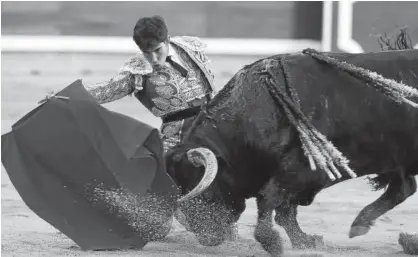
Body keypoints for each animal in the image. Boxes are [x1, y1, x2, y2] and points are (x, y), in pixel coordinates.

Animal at [163, 47, 418, 254]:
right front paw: (305, 241)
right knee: (403, 188)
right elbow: (286, 210)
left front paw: (272, 242)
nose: (205, 236)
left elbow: (270, 199)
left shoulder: (302, 169)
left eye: (200, 189)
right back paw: (367, 226)